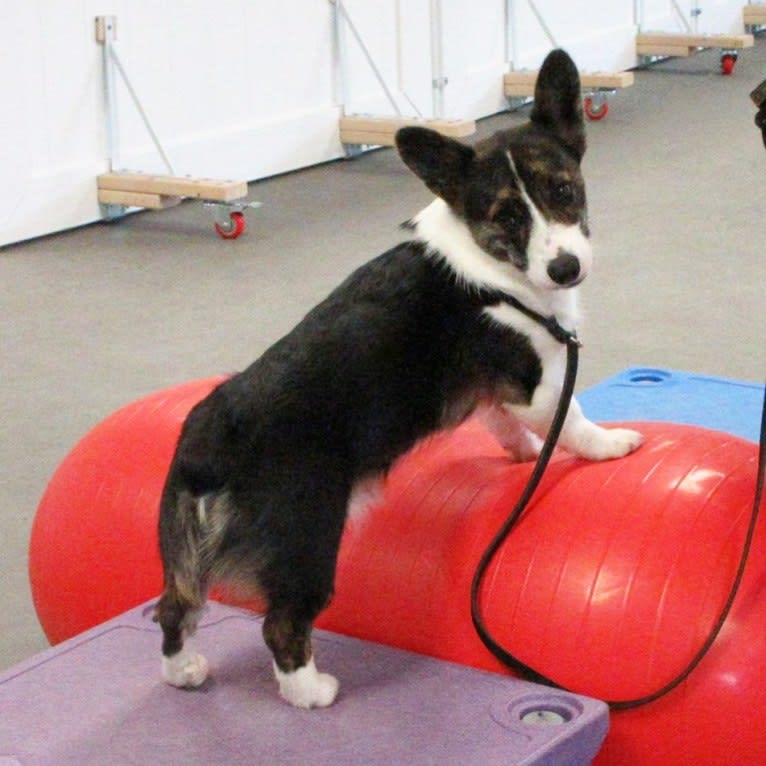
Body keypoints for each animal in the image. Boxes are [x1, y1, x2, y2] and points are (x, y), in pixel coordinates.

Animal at [154, 48, 640, 712]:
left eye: (562, 190)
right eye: (507, 216)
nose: (565, 269)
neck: (492, 267)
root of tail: (207, 444)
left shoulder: (497, 394)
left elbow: (503, 426)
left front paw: (522, 456)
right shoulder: (537, 383)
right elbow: (575, 423)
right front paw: (613, 446)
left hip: (185, 555)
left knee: (173, 608)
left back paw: (185, 672)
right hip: (307, 536)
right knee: (281, 622)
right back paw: (312, 692)